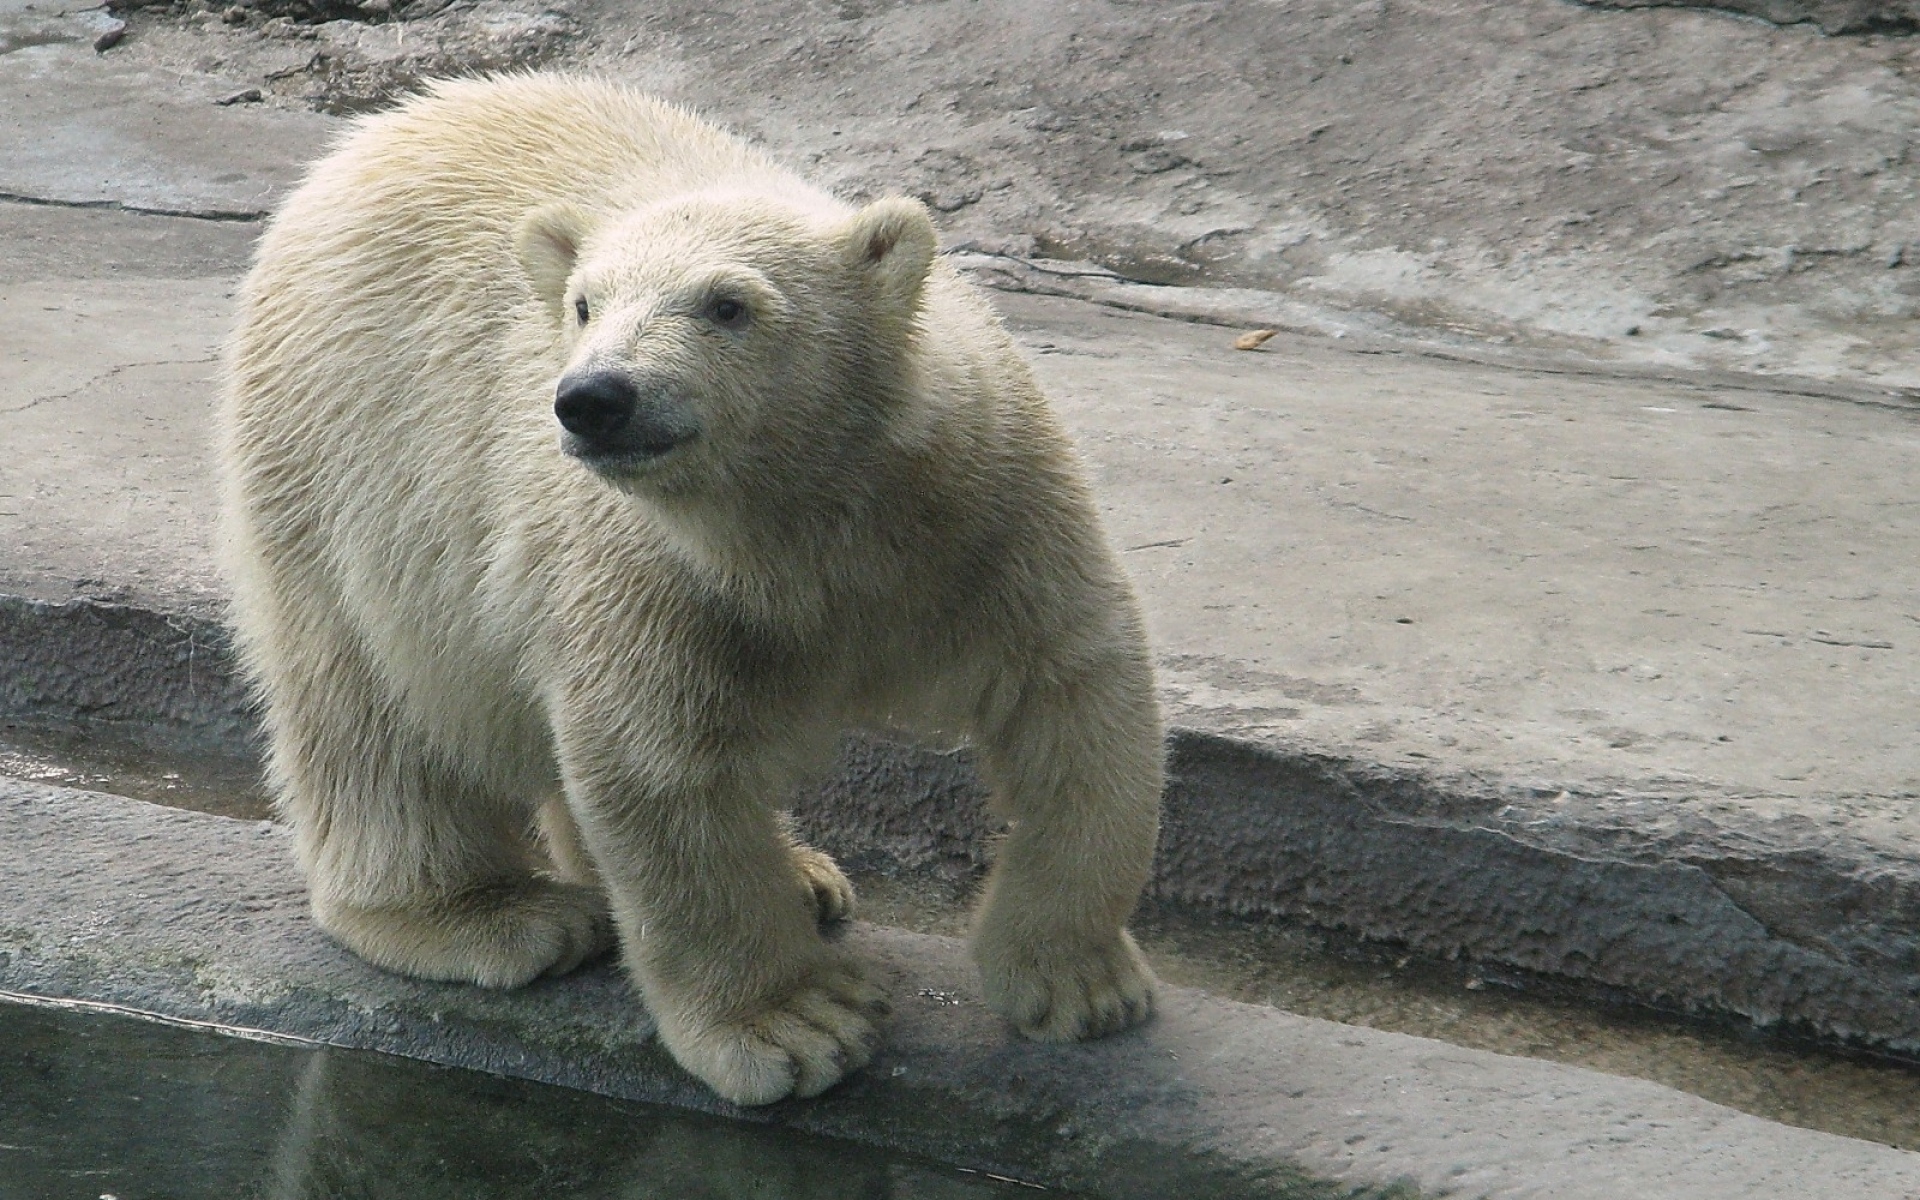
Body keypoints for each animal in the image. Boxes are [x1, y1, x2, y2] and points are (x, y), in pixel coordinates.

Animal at [216, 74, 1164, 1106]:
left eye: (728, 304)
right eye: (585, 304)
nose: (595, 398)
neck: (812, 516)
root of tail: (371, 135)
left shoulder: (985, 507)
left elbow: (1074, 693)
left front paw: (1079, 985)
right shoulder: (660, 571)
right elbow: (660, 766)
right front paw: (798, 1025)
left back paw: (803, 875)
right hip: (344, 463)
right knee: (375, 707)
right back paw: (494, 916)